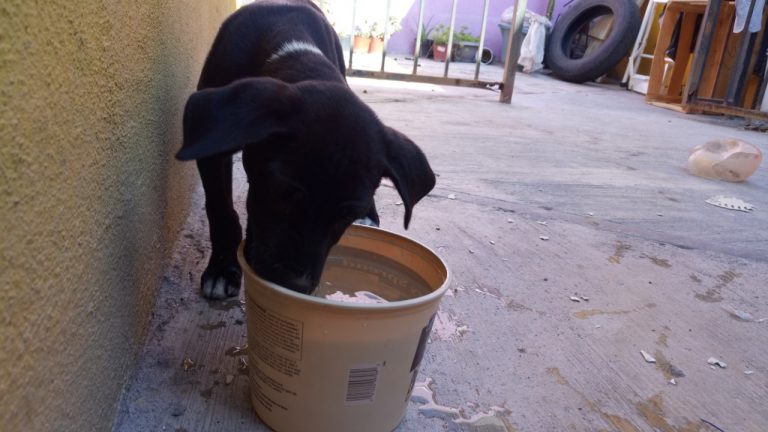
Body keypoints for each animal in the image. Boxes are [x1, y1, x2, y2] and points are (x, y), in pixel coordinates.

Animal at [176, 0, 436, 298]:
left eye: (347, 215)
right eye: (283, 192)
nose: (294, 285)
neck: (291, 48)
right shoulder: (211, 146)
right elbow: (220, 210)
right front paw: (222, 269)